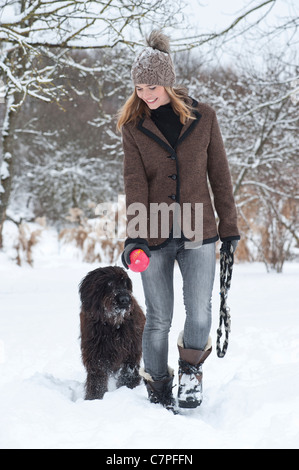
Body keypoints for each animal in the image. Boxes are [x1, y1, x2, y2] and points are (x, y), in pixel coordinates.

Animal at [79, 266, 146, 398]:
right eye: (109, 283)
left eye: (125, 283)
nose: (125, 299)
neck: (112, 325)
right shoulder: (95, 354)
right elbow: (97, 377)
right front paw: (95, 397)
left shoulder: (131, 352)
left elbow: (128, 373)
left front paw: (128, 388)